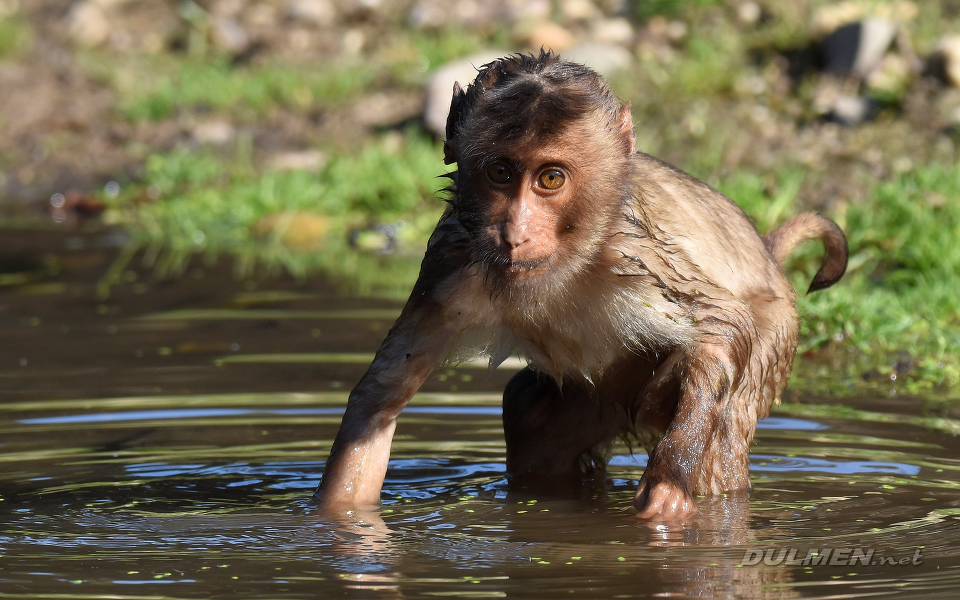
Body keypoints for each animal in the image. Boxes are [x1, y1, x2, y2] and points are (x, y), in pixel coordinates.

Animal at [314, 51, 848, 520]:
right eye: (500, 173)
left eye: (550, 179)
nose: (515, 232)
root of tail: (767, 254)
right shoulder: (450, 262)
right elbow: (382, 395)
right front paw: (335, 517)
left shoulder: (635, 257)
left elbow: (721, 328)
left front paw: (668, 484)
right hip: (591, 403)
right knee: (530, 419)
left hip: (774, 333)